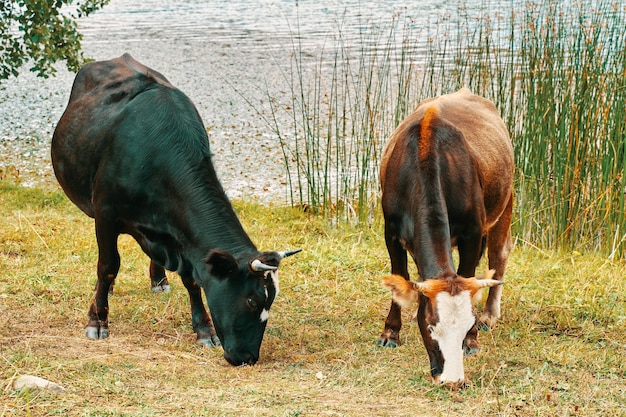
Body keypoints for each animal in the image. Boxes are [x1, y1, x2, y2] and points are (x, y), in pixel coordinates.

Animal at [51, 52, 300, 364]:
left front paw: (204, 330)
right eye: (252, 300)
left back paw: (158, 279)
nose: (248, 357)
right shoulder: (105, 214)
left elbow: (192, 280)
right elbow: (108, 266)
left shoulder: (184, 240)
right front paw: (97, 320)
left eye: (271, 301)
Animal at [376, 87, 512, 384]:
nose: (452, 379)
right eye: (430, 328)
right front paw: (391, 332)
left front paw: (472, 340)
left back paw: (490, 315)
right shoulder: (391, 232)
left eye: (467, 324)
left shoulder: (472, 233)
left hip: (506, 200)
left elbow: (470, 273)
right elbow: (400, 277)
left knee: (499, 254)